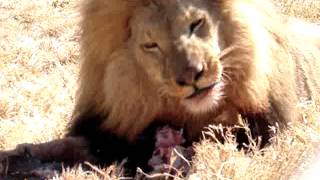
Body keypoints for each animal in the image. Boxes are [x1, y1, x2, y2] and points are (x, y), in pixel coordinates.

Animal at [1, 0, 320, 177]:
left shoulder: (266, 131)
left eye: (196, 23)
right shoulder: (109, 135)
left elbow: (218, 146)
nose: (192, 76)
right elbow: (60, 147)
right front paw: (17, 158)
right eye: (151, 44)